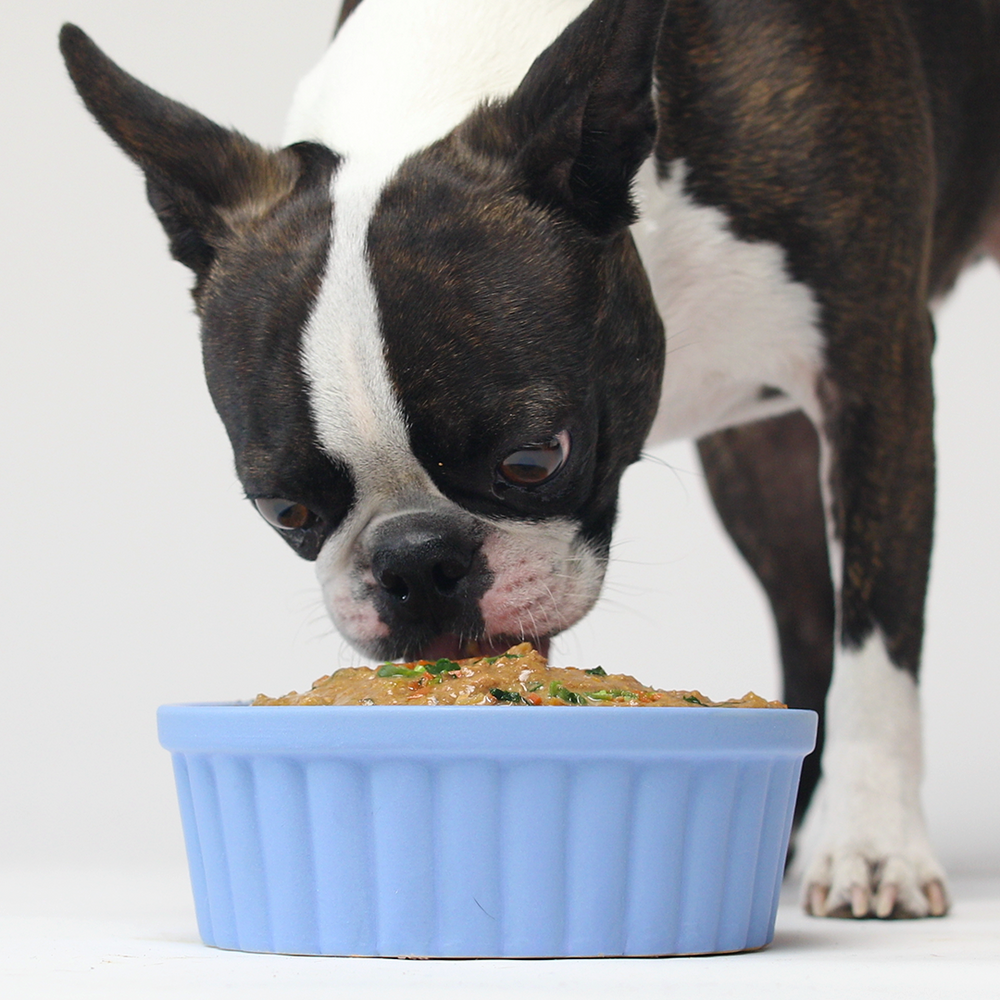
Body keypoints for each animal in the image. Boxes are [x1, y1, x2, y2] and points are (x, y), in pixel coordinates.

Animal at [60, 1, 1000, 920]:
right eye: (283, 510)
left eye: (532, 459)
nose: (416, 565)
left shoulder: (873, 374)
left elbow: (879, 636)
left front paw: (874, 843)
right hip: (755, 461)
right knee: (807, 615)